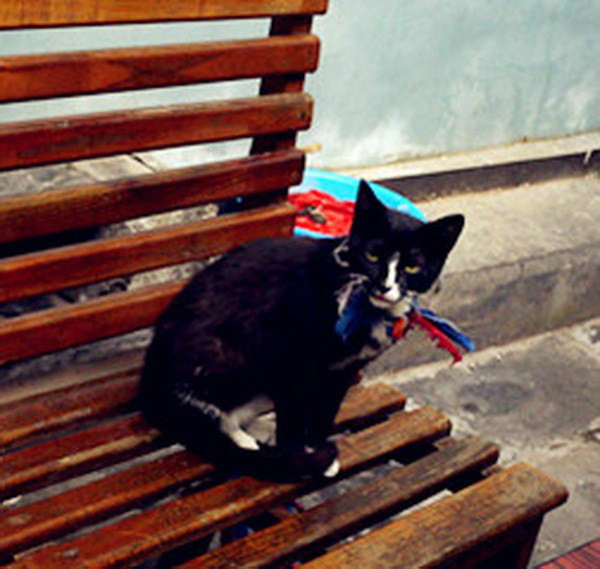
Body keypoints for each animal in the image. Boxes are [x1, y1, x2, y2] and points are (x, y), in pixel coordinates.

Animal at [139, 180, 464, 481]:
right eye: (372, 256)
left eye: (412, 267)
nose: (384, 286)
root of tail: (151, 381)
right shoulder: (289, 359)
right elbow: (293, 420)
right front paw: (297, 459)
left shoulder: (343, 371)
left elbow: (326, 411)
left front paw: (317, 445)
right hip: (223, 356)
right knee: (210, 412)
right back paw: (244, 441)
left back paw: (262, 429)